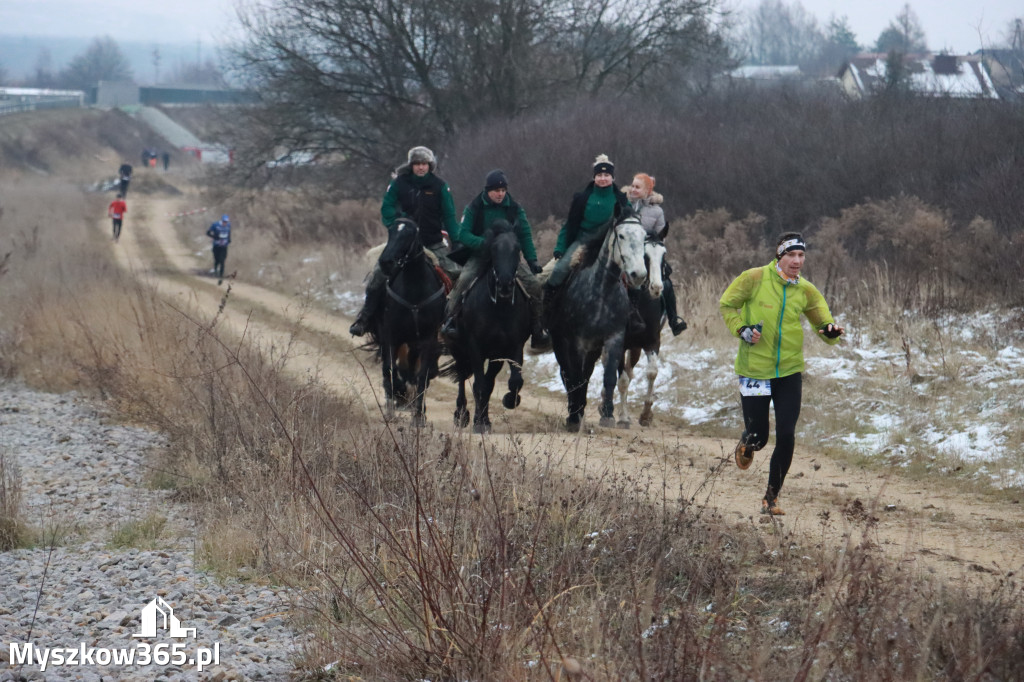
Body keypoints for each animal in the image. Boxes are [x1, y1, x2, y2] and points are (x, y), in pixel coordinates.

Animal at [368, 218, 448, 421]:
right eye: (390, 232)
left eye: (410, 235)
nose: (386, 262)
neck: (414, 292)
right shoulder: (392, 336)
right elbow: (390, 369)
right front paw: (395, 400)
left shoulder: (428, 339)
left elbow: (422, 375)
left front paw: (418, 416)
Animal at [444, 219, 532, 430]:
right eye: (493, 249)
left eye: (517, 248)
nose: (505, 285)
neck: (499, 308)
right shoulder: (475, 347)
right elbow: (479, 385)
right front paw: (478, 423)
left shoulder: (511, 347)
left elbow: (513, 381)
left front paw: (507, 402)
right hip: (458, 349)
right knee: (462, 376)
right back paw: (461, 415)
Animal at [548, 214, 643, 430]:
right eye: (621, 235)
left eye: (644, 236)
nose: (638, 275)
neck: (601, 294)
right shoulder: (576, 342)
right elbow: (575, 377)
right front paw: (574, 417)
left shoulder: (614, 338)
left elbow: (608, 377)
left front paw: (607, 415)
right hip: (561, 344)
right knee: (568, 375)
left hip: (592, 350)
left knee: (585, 374)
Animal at [614, 231, 671, 428]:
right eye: (644, 256)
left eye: (663, 255)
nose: (656, 287)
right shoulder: (619, 343)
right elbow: (622, 380)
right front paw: (623, 417)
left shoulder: (652, 341)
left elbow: (652, 372)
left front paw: (646, 414)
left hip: (636, 348)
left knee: (630, 371)